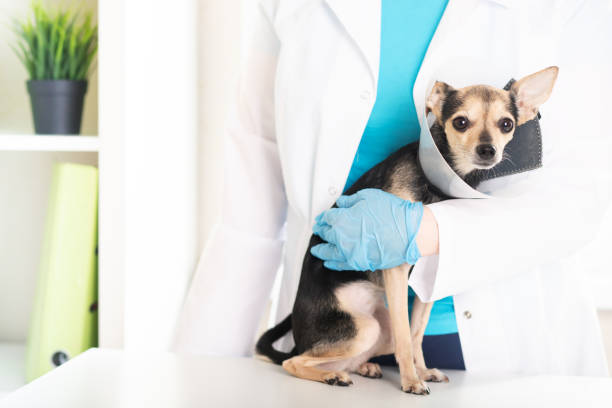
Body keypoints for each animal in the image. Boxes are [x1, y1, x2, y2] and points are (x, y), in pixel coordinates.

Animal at [256, 67, 556, 396]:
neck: (435, 182)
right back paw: (332, 375)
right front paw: (411, 380)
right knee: (294, 362)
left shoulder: (429, 280)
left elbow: (416, 334)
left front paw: (421, 371)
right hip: (363, 328)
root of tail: (299, 336)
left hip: (378, 330)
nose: (487, 150)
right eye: (460, 122)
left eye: (506, 124)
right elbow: (405, 335)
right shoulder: (396, 271)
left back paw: (362, 367)